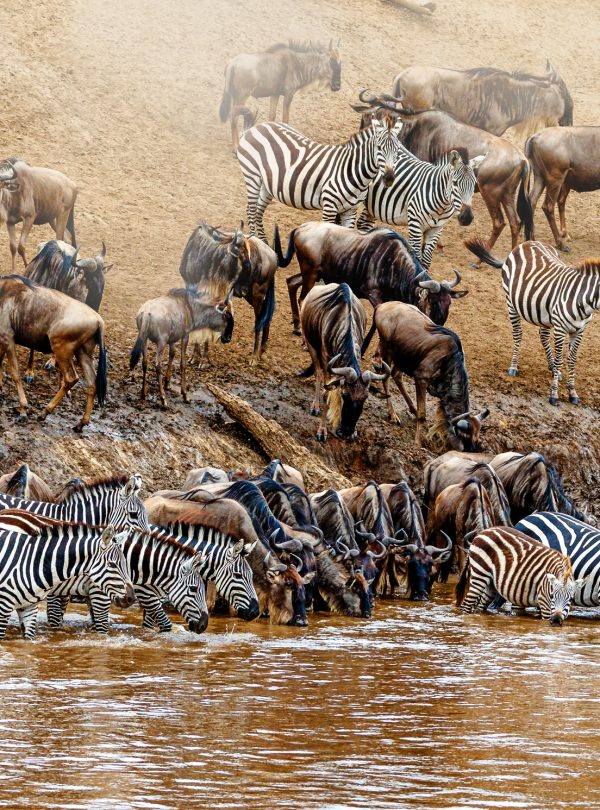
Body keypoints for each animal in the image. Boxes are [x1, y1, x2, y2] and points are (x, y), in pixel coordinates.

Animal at [0, 522, 134, 640]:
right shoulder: (3, 606)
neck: (34, 563)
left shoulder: (29, 607)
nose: (131, 598)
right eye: (112, 564)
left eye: (125, 563)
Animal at [46, 523, 260, 632]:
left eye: (251, 576)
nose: (255, 612)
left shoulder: (152, 595)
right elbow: (165, 624)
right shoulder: (138, 593)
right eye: (239, 575)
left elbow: (149, 625)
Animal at [236, 108, 404, 241]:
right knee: (250, 210)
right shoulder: (329, 207)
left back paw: (264, 243)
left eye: (398, 150)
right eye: (379, 148)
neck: (354, 173)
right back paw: (254, 242)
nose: (389, 178)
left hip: (267, 183)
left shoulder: (350, 211)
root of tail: (256, 127)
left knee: (258, 211)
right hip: (252, 175)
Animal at [465, 238, 600, 405]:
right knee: (518, 334)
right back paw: (514, 367)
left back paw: (553, 370)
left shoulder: (579, 331)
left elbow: (572, 361)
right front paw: (554, 395)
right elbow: (560, 360)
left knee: (543, 335)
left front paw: (572, 393)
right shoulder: (560, 329)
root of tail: (526, 243)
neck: (582, 299)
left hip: (545, 313)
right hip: (511, 303)